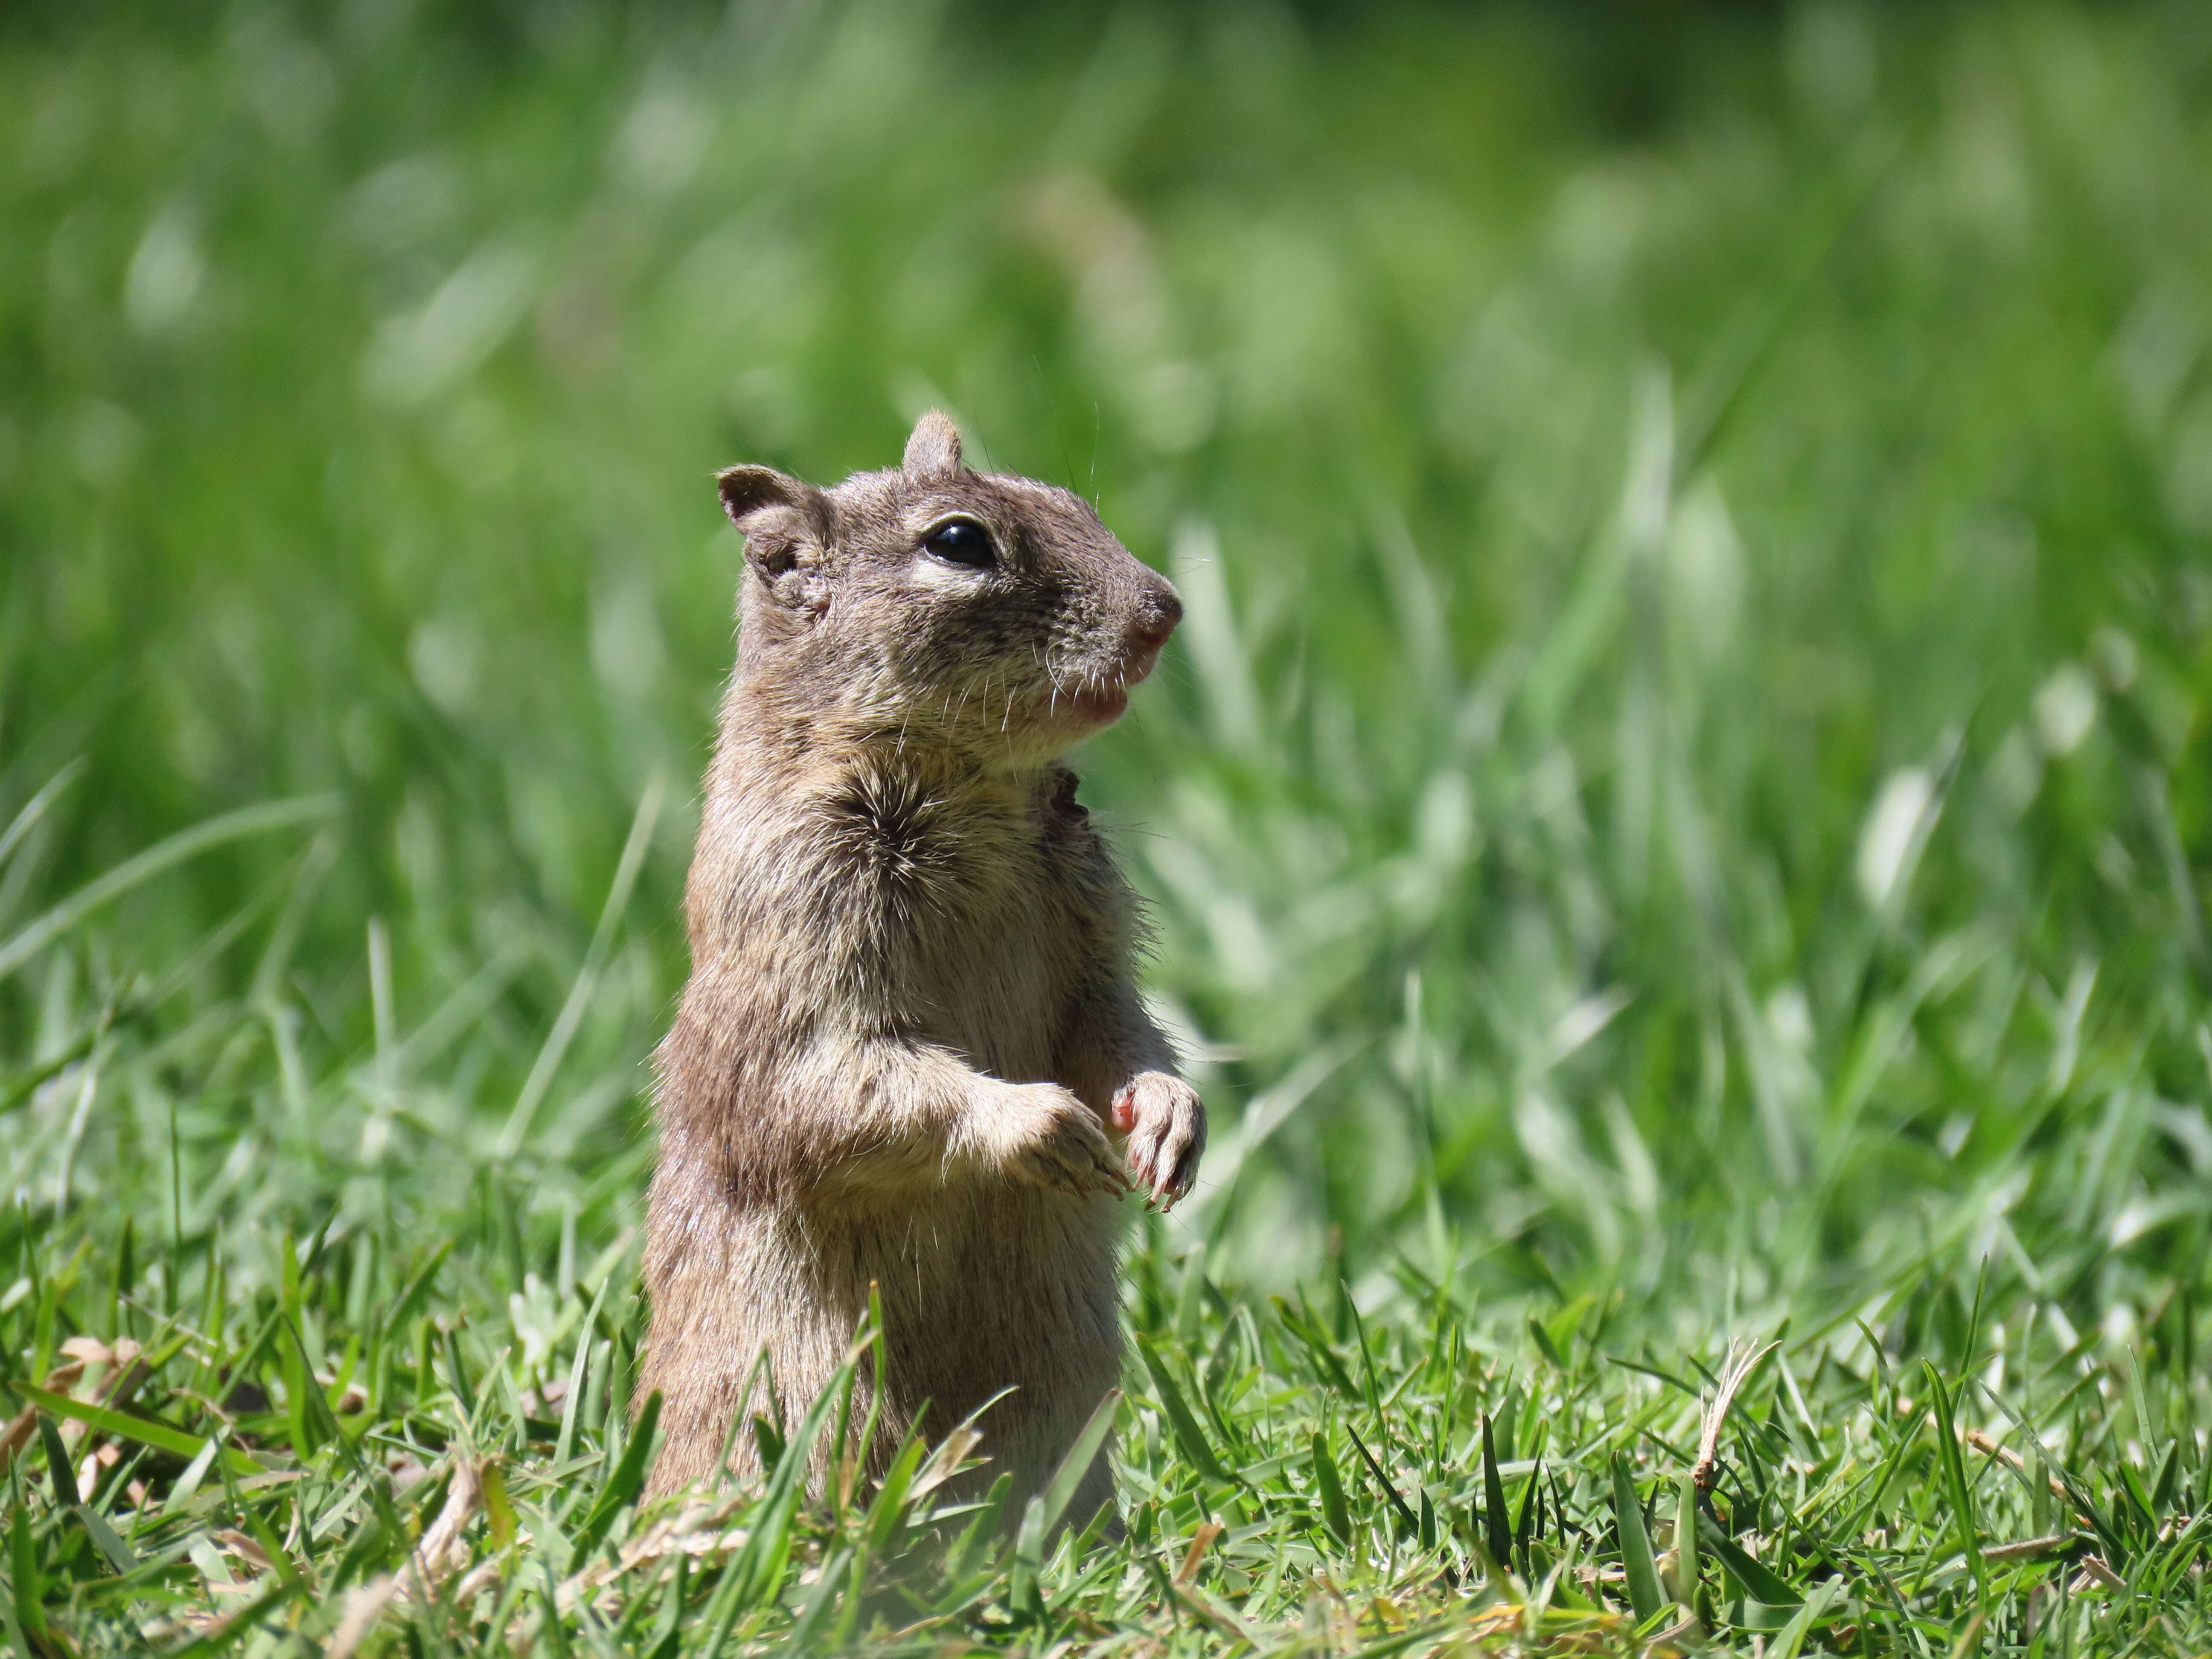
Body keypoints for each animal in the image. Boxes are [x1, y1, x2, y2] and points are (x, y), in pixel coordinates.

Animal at [641, 413, 1212, 1522]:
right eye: (958, 542)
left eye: (1066, 500)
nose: (1164, 611)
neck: (973, 791)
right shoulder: (798, 950)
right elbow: (839, 1083)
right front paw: (1042, 1123)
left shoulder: (1088, 933)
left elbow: (1115, 1025)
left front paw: (1168, 1116)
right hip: (808, 1388)